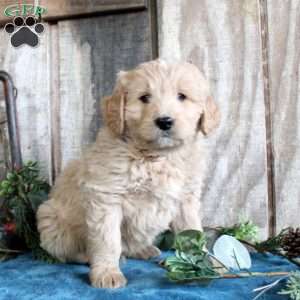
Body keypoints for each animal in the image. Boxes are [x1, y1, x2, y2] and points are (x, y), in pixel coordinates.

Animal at [37, 59, 220, 288]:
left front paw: (205, 263)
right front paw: (106, 273)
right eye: (144, 98)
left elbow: (193, 232)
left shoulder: (185, 199)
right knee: (69, 252)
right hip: (51, 221)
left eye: (182, 96)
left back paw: (143, 250)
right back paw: (90, 257)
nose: (164, 121)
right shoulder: (107, 198)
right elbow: (108, 240)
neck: (157, 157)